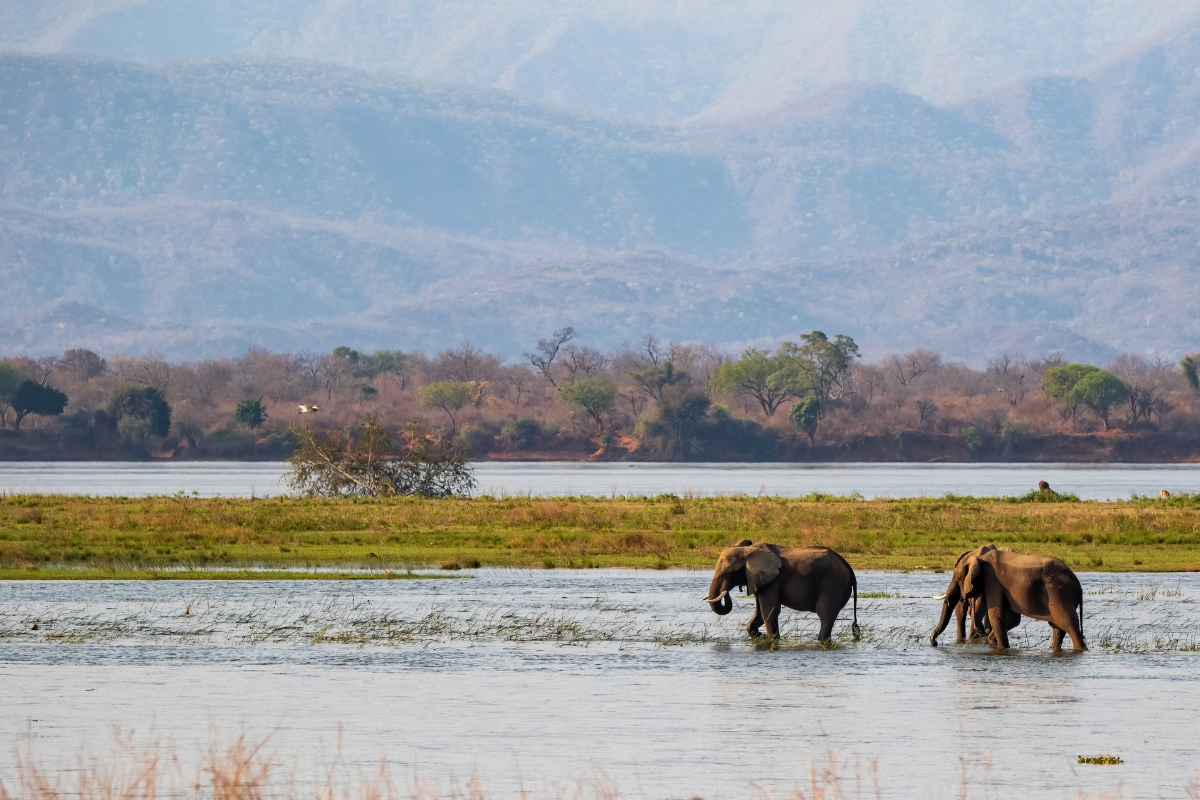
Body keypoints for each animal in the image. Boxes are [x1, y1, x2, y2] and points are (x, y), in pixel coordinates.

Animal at [702, 539, 860, 642]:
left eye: (729, 572)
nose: (726, 591)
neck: (748, 550)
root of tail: (848, 567)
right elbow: (759, 613)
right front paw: (761, 637)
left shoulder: (773, 581)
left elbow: (769, 610)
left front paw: (773, 640)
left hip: (833, 585)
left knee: (825, 615)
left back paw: (820, 640)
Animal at [930, 543, 1086, 651]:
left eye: (956, 578)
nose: (934, 642)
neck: (980, 558)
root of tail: (1077, 585)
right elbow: (1012, 619)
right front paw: (992, 641)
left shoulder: (992, 580)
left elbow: (996, 616)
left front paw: (1000, 646)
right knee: (1058, 628)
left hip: (1059, 593)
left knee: (1069, 625)